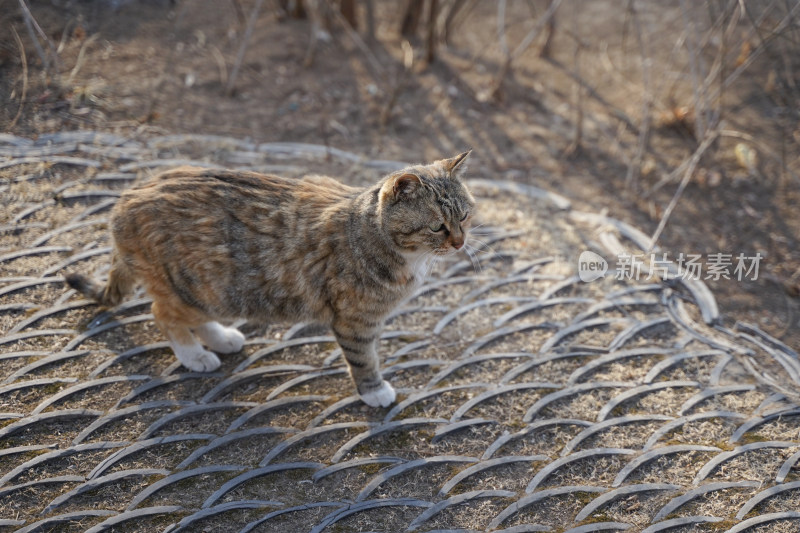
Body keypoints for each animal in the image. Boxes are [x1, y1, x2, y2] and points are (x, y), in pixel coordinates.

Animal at [65, 152, 476, 406]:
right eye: (438, 227)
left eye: (465, 217)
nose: (460, 243)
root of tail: (125, 198)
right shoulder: (355, 320)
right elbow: (364, 359)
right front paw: (373, 391)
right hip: (192, 287)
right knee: (163, 314)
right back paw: (195, 355)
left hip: (212, 290)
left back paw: (220, 338)